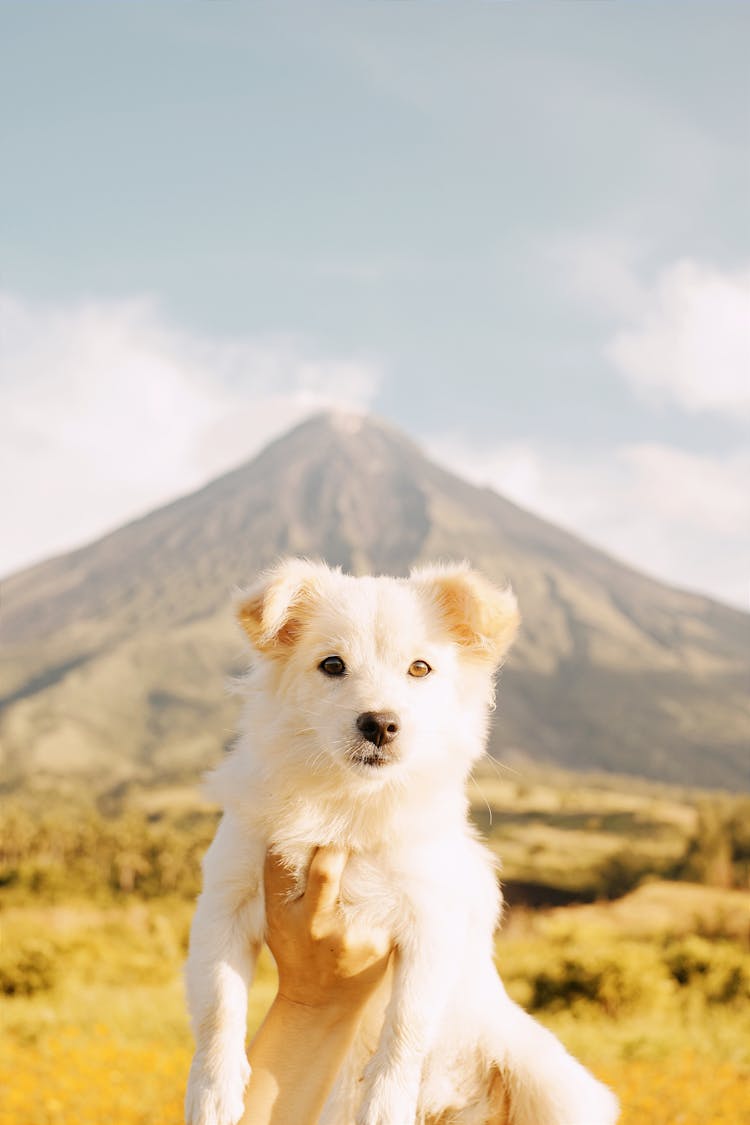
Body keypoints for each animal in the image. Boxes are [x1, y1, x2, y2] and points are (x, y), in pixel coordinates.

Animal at [184, 560, 620, 1125]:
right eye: (332, 665)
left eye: (420, 668)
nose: (380, 724)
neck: (347, 803)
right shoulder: (225, 899)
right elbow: (218, 1001)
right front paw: (212, 1091)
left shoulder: (430, 922)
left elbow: (406, 1027)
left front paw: (386, 1103)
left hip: (557, 1087)